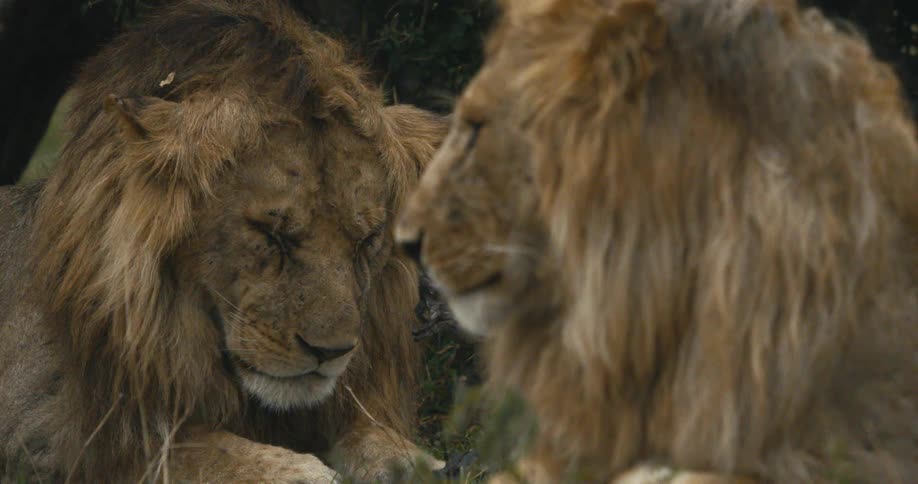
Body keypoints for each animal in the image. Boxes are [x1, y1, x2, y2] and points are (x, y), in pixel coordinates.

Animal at [0, 1, 447, 482]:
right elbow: (188, 447)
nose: (330, 352)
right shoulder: (45, 429)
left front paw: (403, 458)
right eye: (270, 234)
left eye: (366, 241)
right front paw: (295, 470)